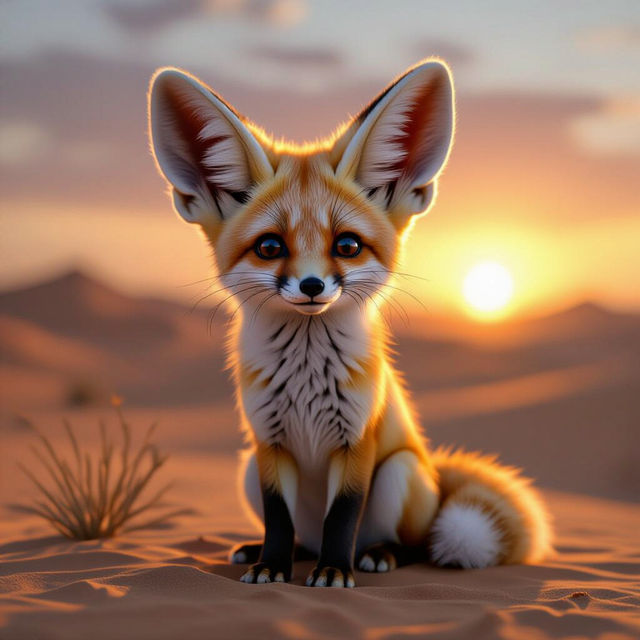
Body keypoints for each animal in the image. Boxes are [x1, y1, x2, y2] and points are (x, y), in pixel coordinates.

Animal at [148, 59, 551, 588]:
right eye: (270, 247)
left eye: (347, 246)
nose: (312, 285)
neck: (305, 380)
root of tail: (435, 475)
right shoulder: (268, 442)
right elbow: (279, 519)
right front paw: (270, 565)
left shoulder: (357, 439)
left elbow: (342, 515)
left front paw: (334, 573)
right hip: (246, 468)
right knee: (302, 533)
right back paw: (283, 551)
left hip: (399, 472)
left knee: (412, 544)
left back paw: (377, 554)